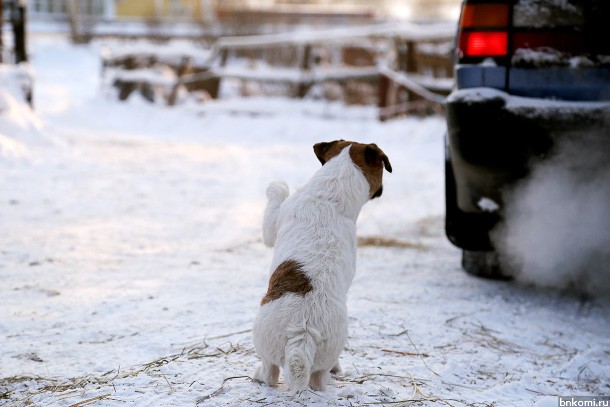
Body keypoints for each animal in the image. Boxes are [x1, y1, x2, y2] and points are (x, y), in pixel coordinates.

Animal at [251, 139, 390, 392]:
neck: (329, 196)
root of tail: (302, 333)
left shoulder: (272, 225)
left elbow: (275, 198)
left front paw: (277, 185)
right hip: (327, 355)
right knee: (319, 379)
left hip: (263, 342)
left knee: (270, 373)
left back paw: (259, 375)